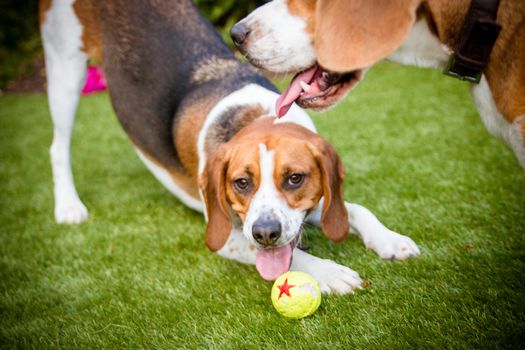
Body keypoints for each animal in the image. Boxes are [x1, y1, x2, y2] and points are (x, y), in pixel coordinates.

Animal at [40, 0, 418, 294]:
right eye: (241, 183)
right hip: (64, 67)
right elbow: (288, 255)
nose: (266, 233)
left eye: (295, 178)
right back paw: (68, 206)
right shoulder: (229, 236)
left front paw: (390, 240)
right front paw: (328, 272)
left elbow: (357, 210)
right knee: (57, 147)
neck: (255, 117)